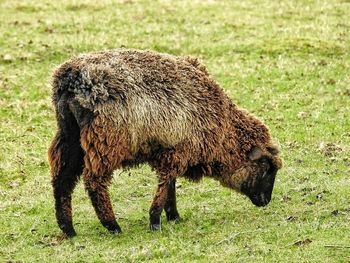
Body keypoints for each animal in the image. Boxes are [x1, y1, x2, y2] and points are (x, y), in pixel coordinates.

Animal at [48, 48, 282, 238]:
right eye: (266, 167)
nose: (266, 201)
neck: (223, 128)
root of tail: (73, 81)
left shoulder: (170, 151)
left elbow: (170, 184)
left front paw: (173, 216)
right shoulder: (179, 151)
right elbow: (165, 184)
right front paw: (155, 221)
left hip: (69, 137)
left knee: (62, 180)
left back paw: (68, 229)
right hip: (106, 142)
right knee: (94, 183)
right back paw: (112, 226)